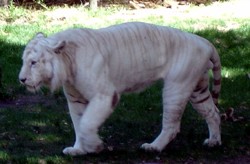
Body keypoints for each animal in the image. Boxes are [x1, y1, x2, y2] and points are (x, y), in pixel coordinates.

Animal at [18, 22, 221, 156]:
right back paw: (214, 142)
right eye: (23, 61)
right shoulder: (75, 100)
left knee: (172, 125)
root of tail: (205, 42)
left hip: (176, 87)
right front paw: (78, 149)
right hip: (198, 89)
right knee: (213, 112)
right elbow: (78, 123)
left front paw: (94, 146)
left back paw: (153, 147)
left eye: (33, 62)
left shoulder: (104, 96)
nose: (21, 79)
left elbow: (86, 124)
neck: (67, 64)